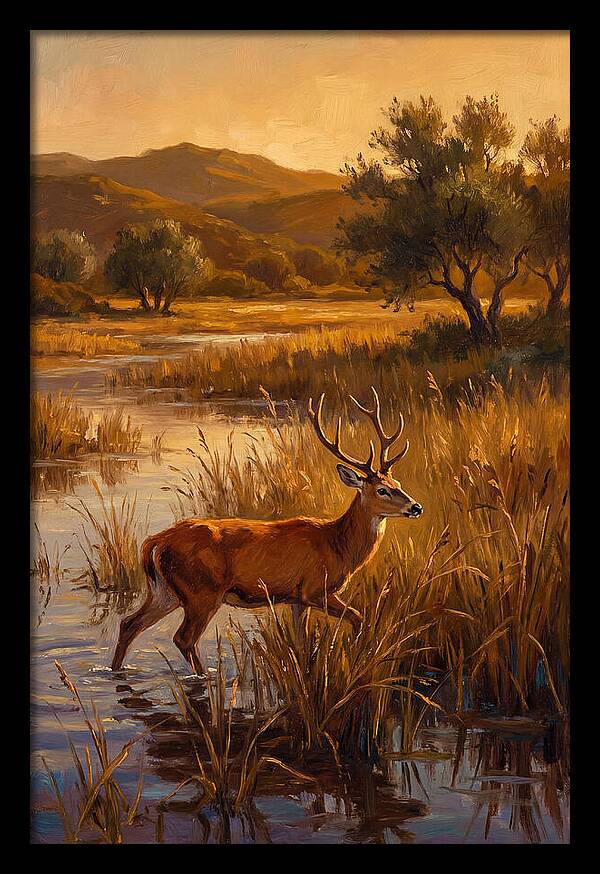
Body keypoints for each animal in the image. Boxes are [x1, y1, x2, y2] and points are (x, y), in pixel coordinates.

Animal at [111, 387, 423, 675]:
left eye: (397, 482)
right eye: (382, 490)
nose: (417, 507)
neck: (338, 546)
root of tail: (154, 542)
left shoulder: (297, 599)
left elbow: (302, 643)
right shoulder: (314, 589)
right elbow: (359, 617)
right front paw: (356, 652)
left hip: (164, 591)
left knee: (129, 623)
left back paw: (115, 670)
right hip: (201, 591)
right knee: (183, 638)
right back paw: (204, 677)